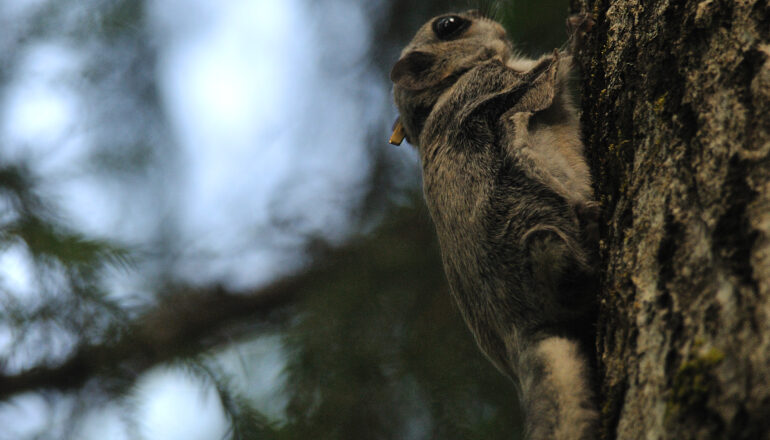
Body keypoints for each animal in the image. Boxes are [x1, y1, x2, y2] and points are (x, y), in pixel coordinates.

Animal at [390, 10, 599, 440]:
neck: (445, 90)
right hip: (537, 233)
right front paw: (579, 32)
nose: (489, 20)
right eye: (449, 25)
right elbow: (550, 72)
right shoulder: (494, 86)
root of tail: (522, 336)